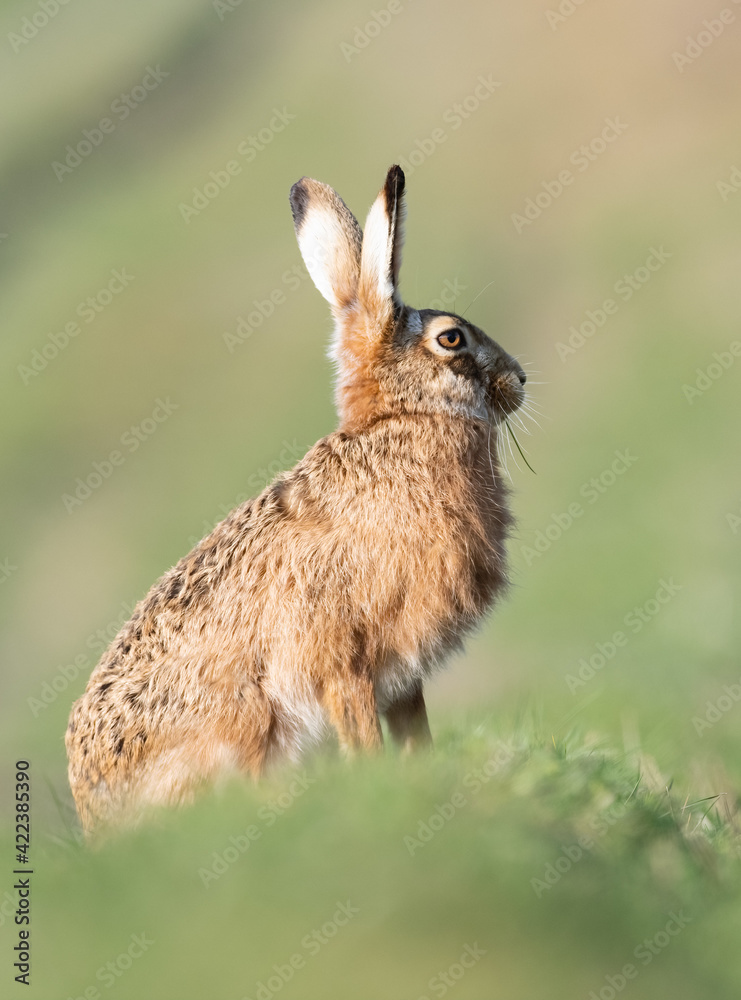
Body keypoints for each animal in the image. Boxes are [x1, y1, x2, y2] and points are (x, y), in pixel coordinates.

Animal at [66, 165, 527, 834]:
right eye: (451, 338)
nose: (520, 380)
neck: (399, 422)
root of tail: (96, 814)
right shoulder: (345, 666)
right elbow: (365, 738)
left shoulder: (401, 677)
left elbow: (415, 735)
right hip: (244, 724)